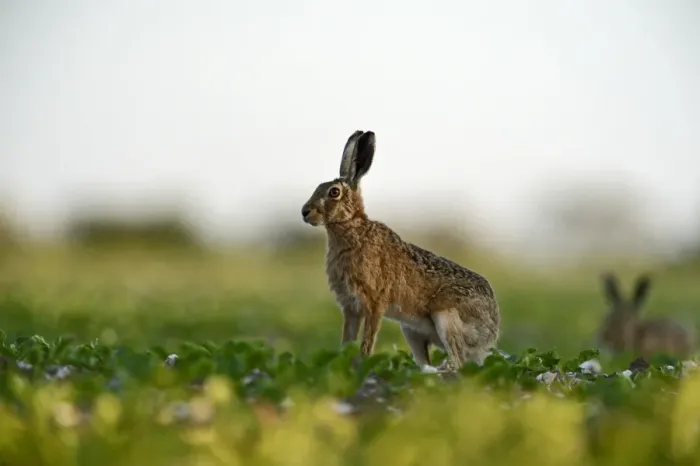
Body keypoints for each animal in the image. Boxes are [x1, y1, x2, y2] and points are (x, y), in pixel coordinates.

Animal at [300, 130, 500, 371]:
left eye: (334, 192)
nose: (305, 212)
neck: (351, 228)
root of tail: (490, 334)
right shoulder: (350, 308)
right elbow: (347, 342)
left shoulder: (374, 303)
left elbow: (367, 342)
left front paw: (362, 365)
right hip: (411, 331)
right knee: (427, 361)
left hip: (446, 317)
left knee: (458, 361)